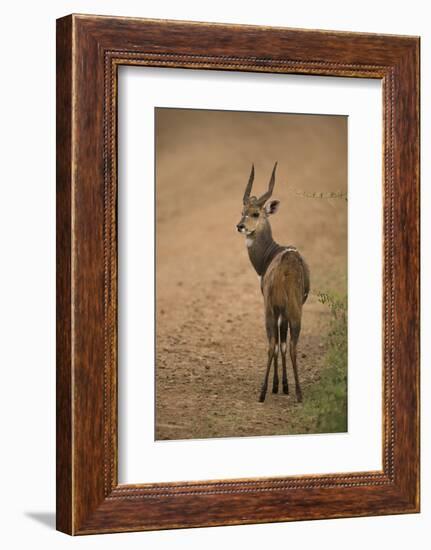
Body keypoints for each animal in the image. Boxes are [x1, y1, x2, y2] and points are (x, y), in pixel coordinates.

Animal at [236, 164, 310, 406]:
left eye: (256, 213)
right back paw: (297, 393)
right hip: (292, 311)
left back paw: (263, 392)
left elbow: (278, 343)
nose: (240, 226)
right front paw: (282, 387)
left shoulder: (276, 309)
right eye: (242, 211)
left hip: (271, 309)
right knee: (290, 346)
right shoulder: (283, 311)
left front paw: (278, 386)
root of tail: (285, 270)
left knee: (273, 344)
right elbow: (282, 343)